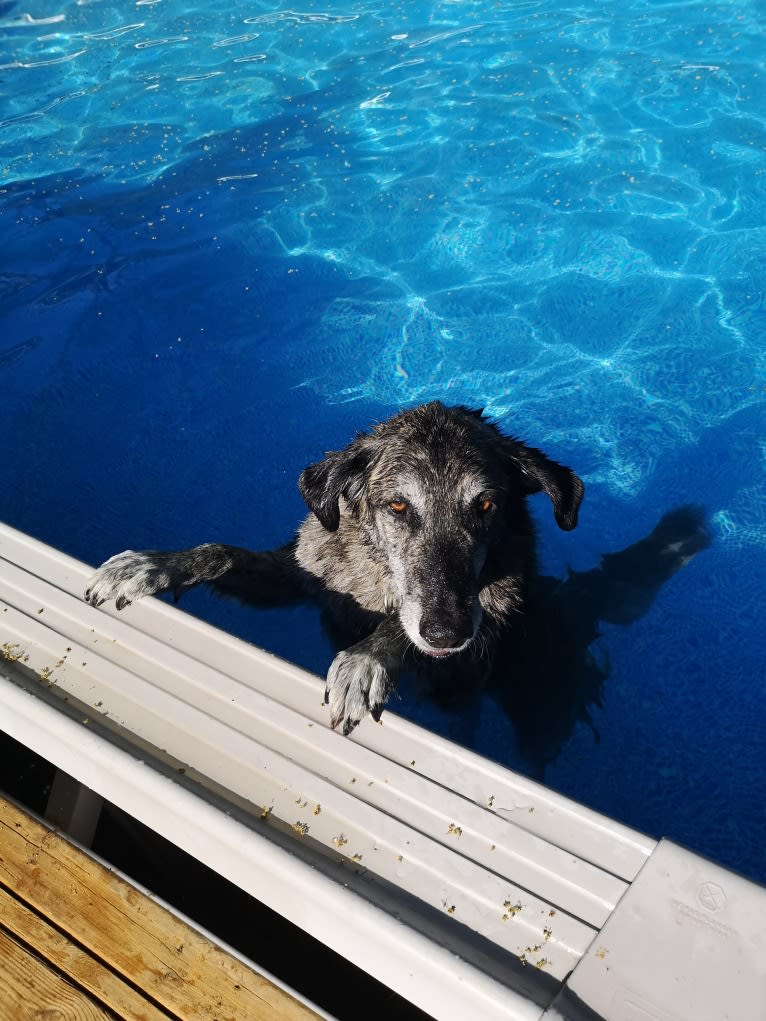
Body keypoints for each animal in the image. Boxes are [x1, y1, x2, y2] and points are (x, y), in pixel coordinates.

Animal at [83, 400, 584, 735]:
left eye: (485, 505)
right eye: (398, 506)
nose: (447, 633)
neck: (378, 574)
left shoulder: (469, 656)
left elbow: (400, 629)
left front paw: (366, 659)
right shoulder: (295, 575)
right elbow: (220, 551)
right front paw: (152, 564)